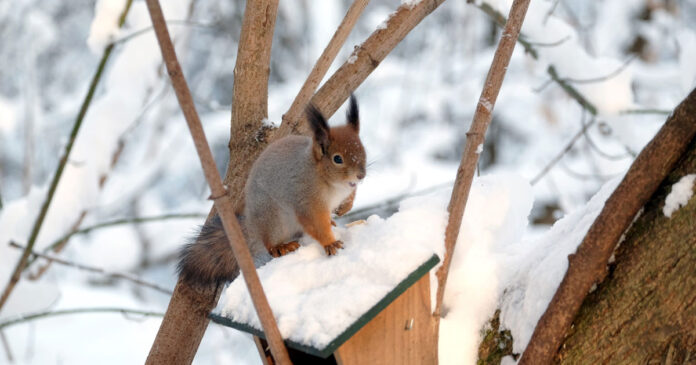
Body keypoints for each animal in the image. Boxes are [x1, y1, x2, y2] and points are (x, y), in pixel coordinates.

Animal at [177, 94, 368, 284]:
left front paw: (345, 207)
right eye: (337, 159)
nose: (361, 175)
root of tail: (253, 225)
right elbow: (315, 223)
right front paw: (330, 243)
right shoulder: (305, 198)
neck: (333, 184)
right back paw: (281, 247)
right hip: (274, 219)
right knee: (270, 246)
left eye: (363, 150)